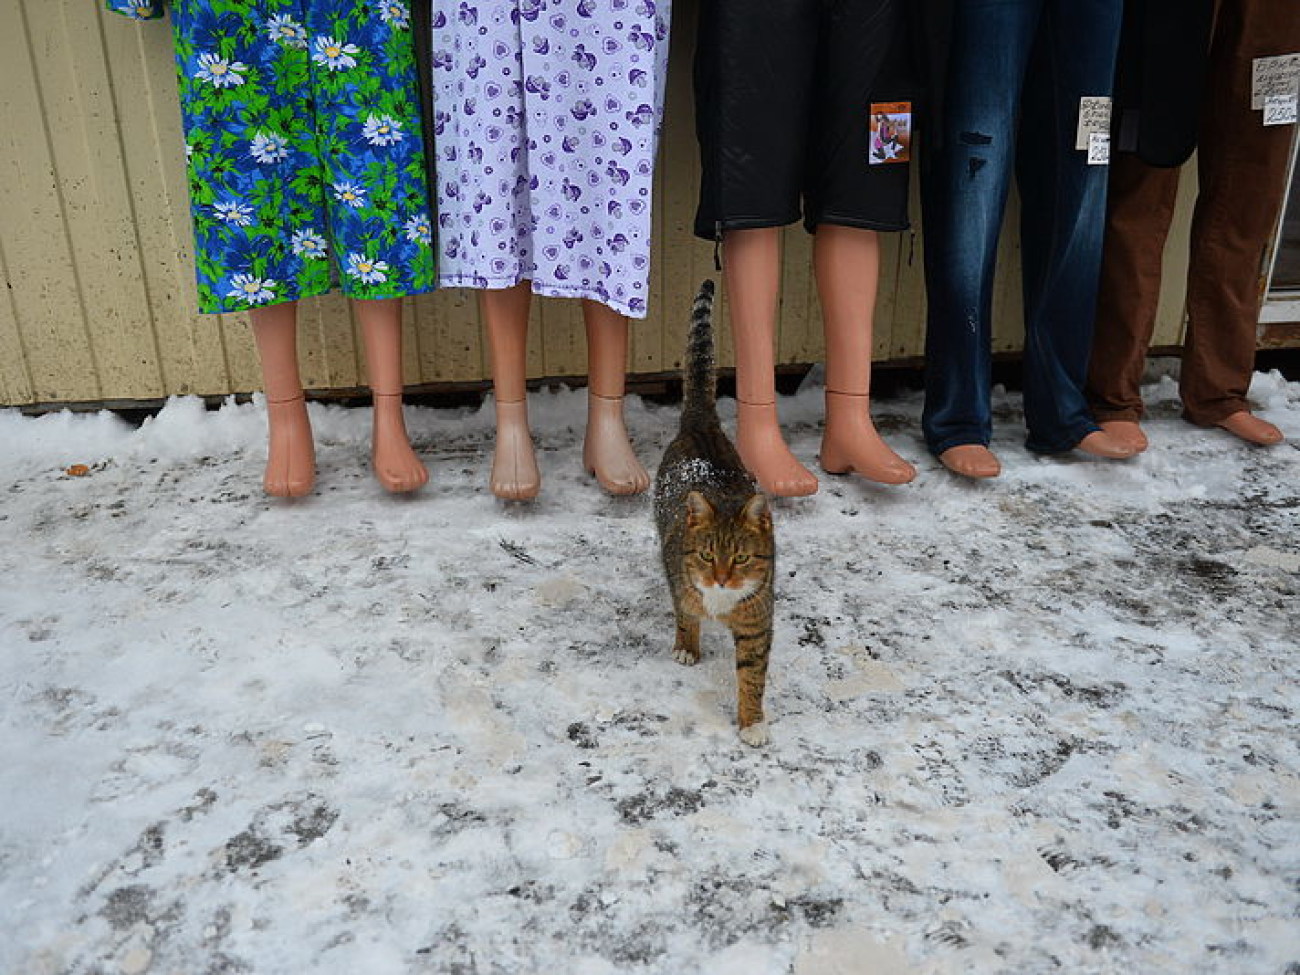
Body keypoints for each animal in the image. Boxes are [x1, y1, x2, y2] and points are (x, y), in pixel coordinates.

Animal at [655, 278, 774, 754]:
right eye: (707, 555)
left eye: (740, 558)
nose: (722, 579)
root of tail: (701, 421)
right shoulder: (678, 577)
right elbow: (685, 614)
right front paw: (687, 645)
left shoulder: (757, 622)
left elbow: (752, 676)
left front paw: (751, 722)